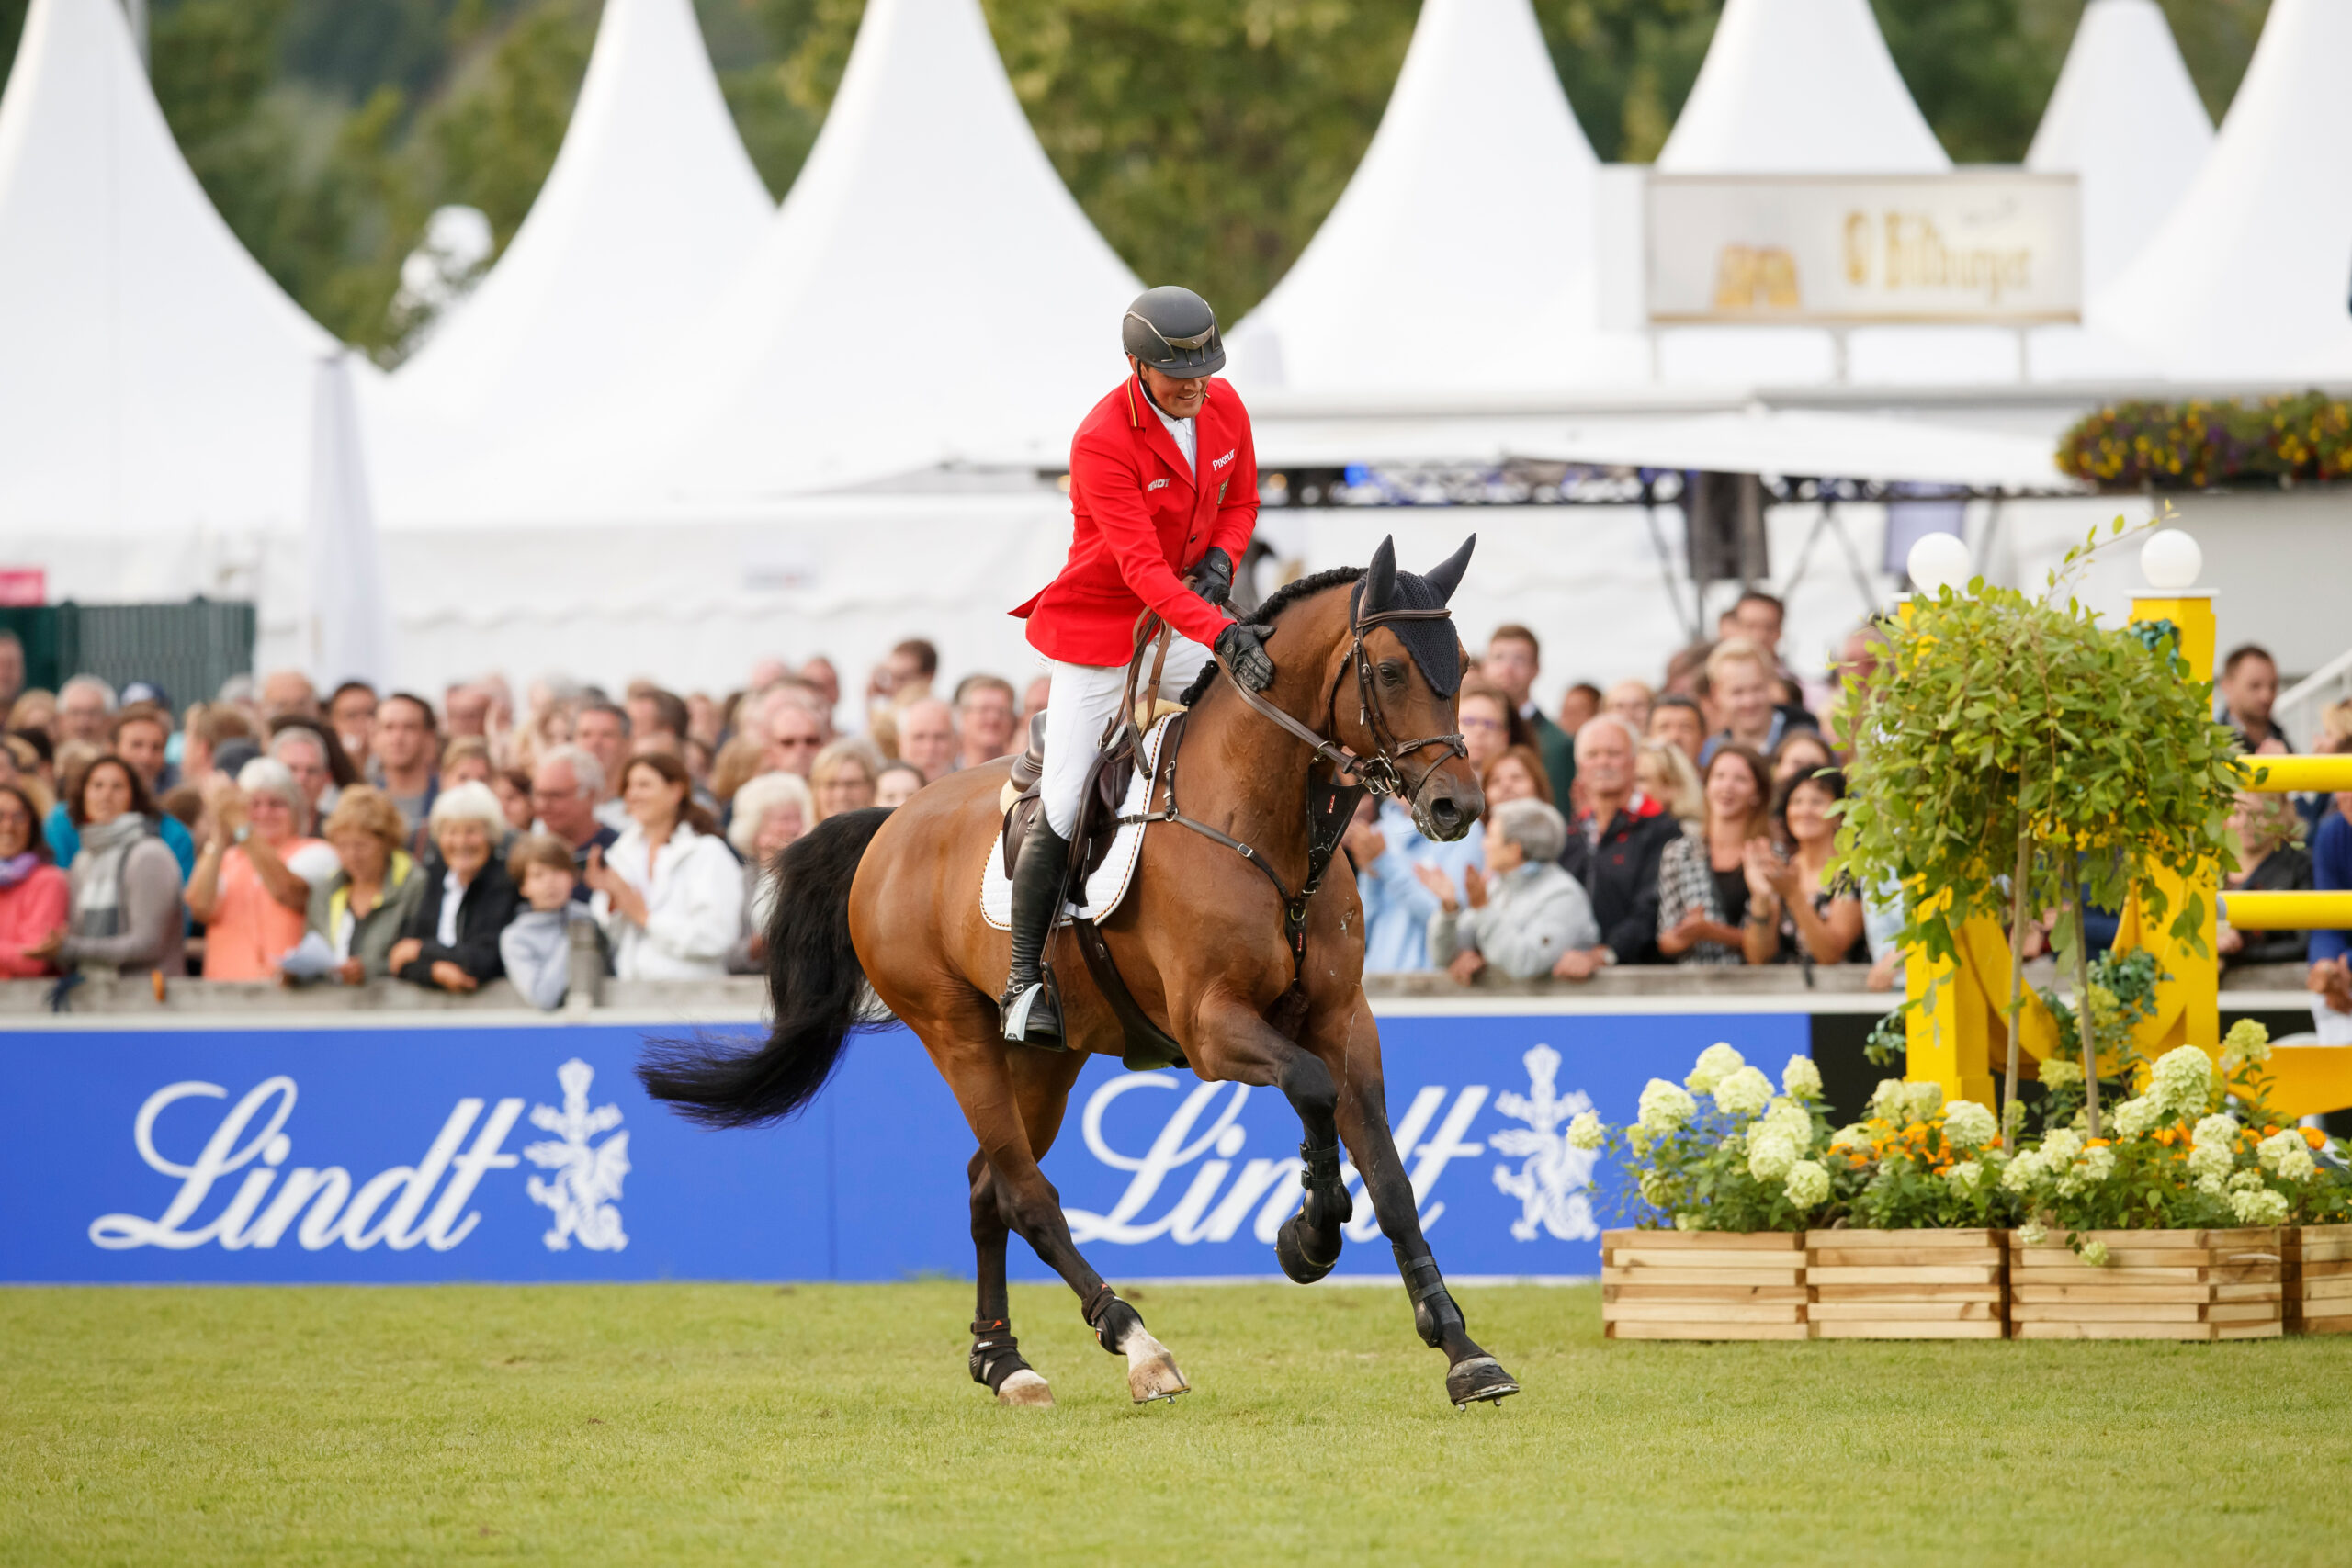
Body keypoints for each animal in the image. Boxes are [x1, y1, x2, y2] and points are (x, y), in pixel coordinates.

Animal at [640, 536, 1521, 1412]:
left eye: (1463, 667)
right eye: (1393, 671)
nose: (1458, 808)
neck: (1262, 819)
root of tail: (891, 823)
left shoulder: (1344, 1018)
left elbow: (1391, 1175)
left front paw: (1462, 1349)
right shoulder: (1212, 1027)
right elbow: (1310, 1087)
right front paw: (1309, 1232)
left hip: (1043, 1057)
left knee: (988, 1183)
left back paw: (1003, 1360)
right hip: (956, 1033)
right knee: (1026, 1193)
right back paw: (1137, 1344)